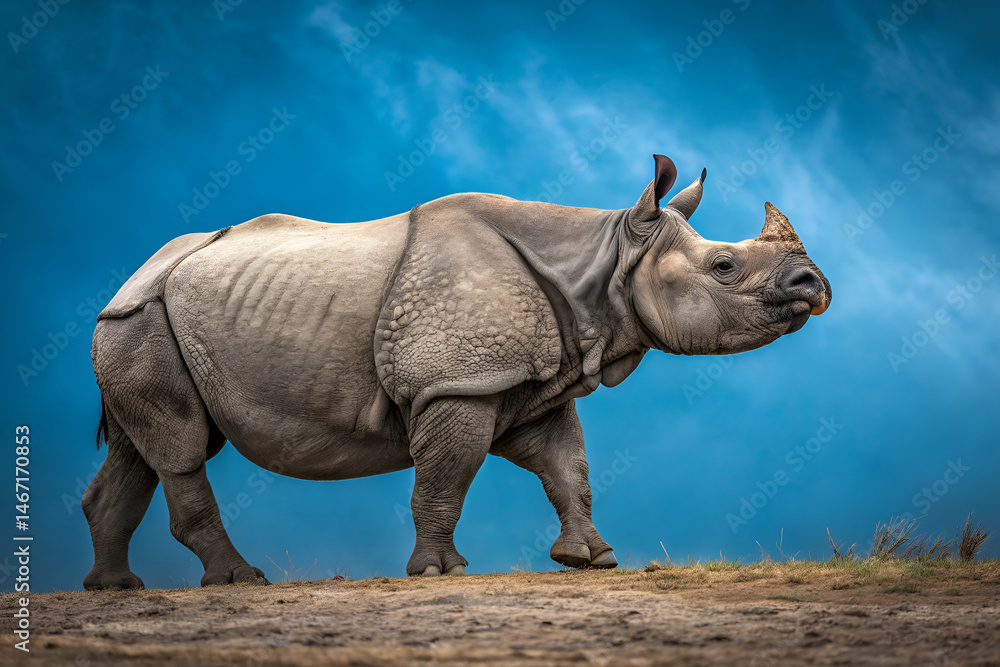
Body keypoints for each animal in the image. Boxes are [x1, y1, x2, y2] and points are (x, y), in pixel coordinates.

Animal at [82, 154, 830, 589]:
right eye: (725, 266)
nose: (815, 286)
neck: (603, 260)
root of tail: (132, 274)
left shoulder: (532, 384)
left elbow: (570, 469)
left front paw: (592, 559)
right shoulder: (459, 383)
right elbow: (447, 477)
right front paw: (439, 573)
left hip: (140, 319)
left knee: (142, 448)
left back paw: (116, 589)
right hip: (142, 319)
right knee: (182, 446)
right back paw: (241, 581)